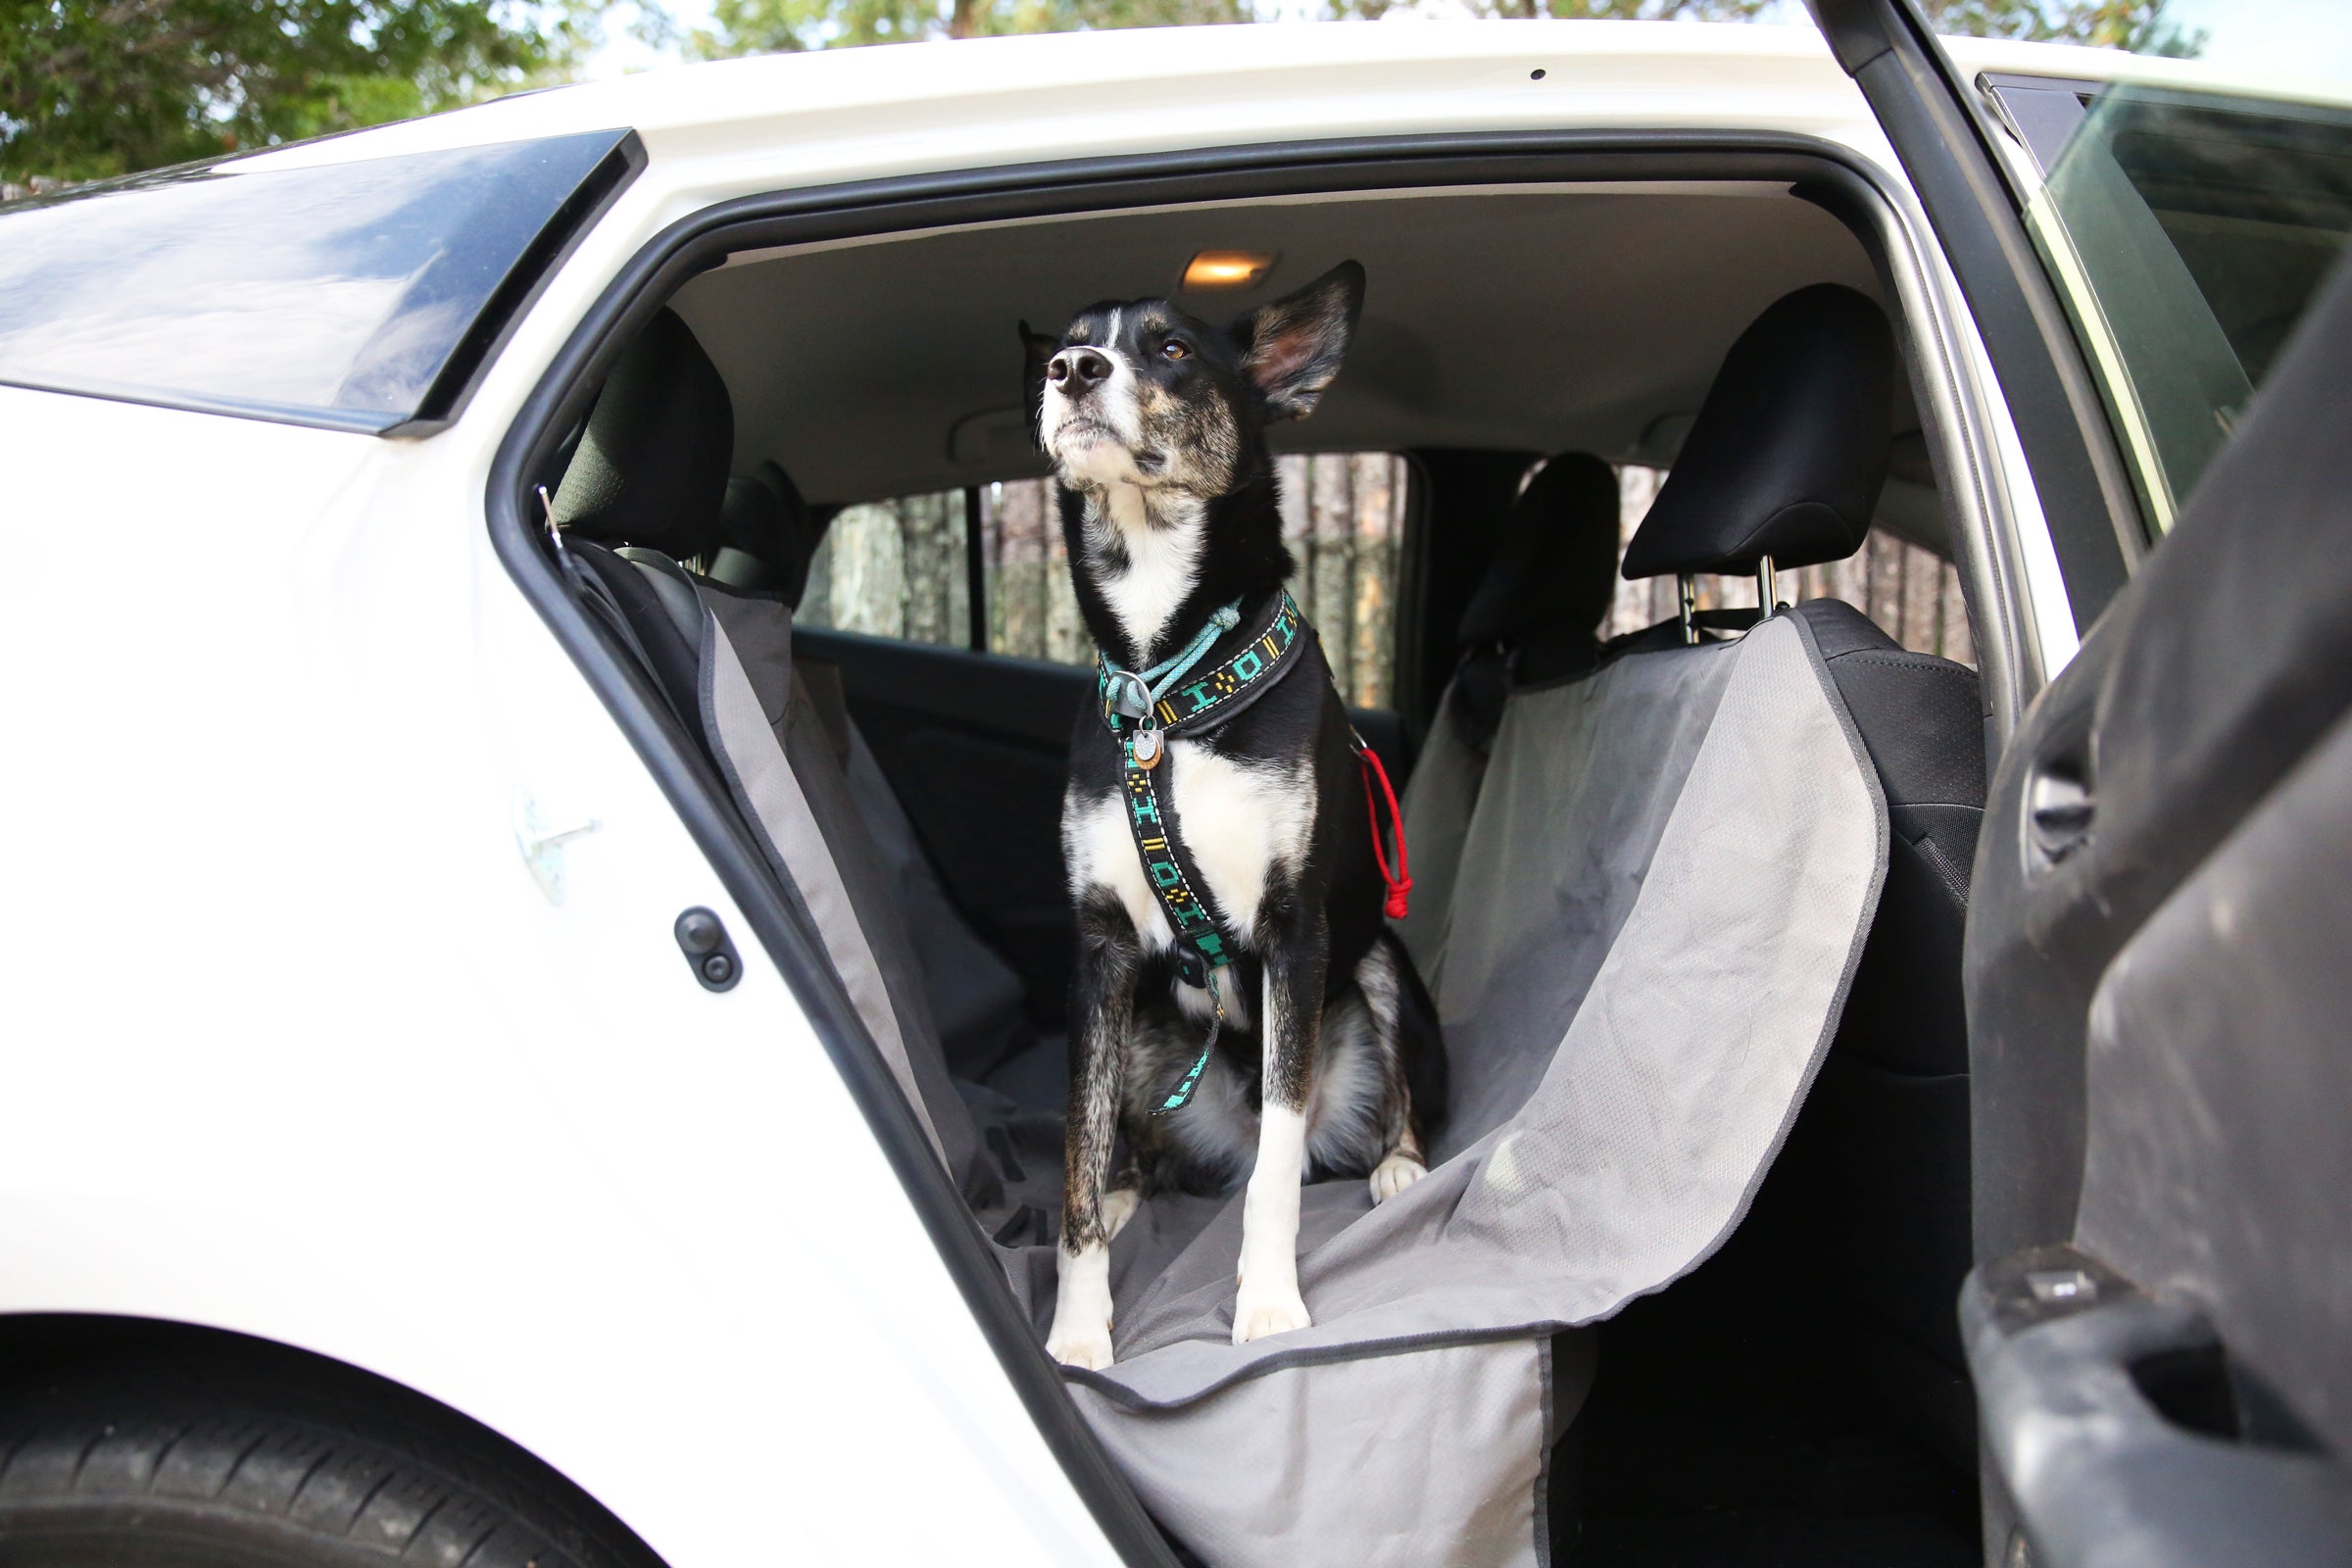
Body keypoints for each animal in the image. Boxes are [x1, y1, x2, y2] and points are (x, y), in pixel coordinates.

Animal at [1030, 263, 1448, 1363]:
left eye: (1172, 348)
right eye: (1073, 340)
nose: (1072, 370)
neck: (1165, 689)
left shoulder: (1295, 929)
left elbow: (1275, 1170)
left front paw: (1268, 1305)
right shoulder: (1099, 951)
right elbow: (1077, 1154)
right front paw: (1078, 1332)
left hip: (1380, 963)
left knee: (1359, 1113)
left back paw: (1398, 1164)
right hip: (1142, 1024)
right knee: (1133, 1146)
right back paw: (1132, 1191)